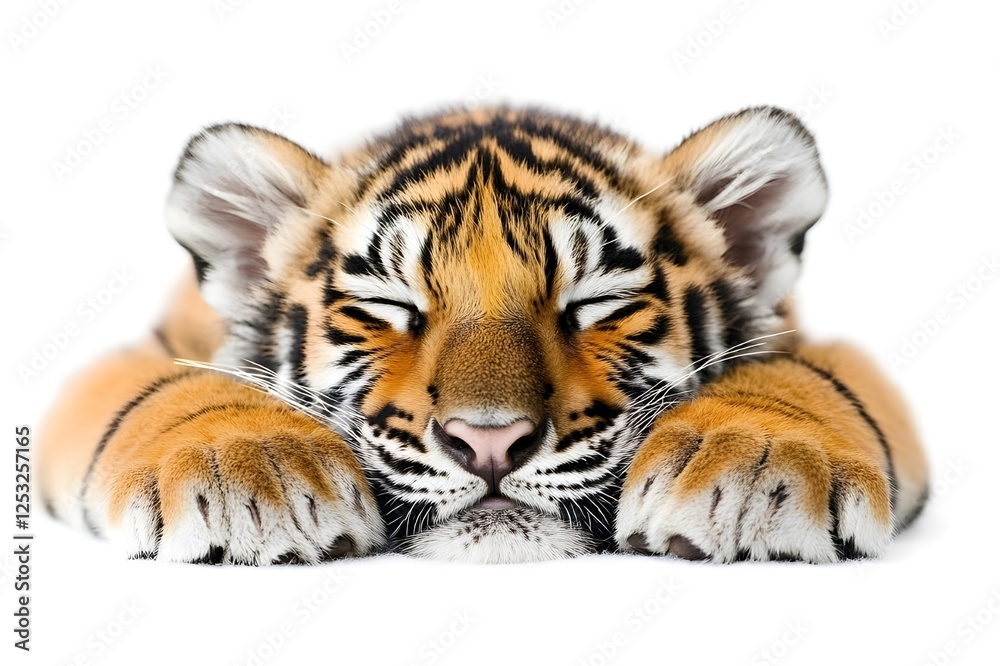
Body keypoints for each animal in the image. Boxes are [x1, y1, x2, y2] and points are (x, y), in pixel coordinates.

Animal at [37, 105, 929, 565]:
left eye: (595, 301)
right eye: (389, 305)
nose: (489, 443)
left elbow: (800, 380)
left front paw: (754, 466)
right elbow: (172, 390)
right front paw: (246, 473)